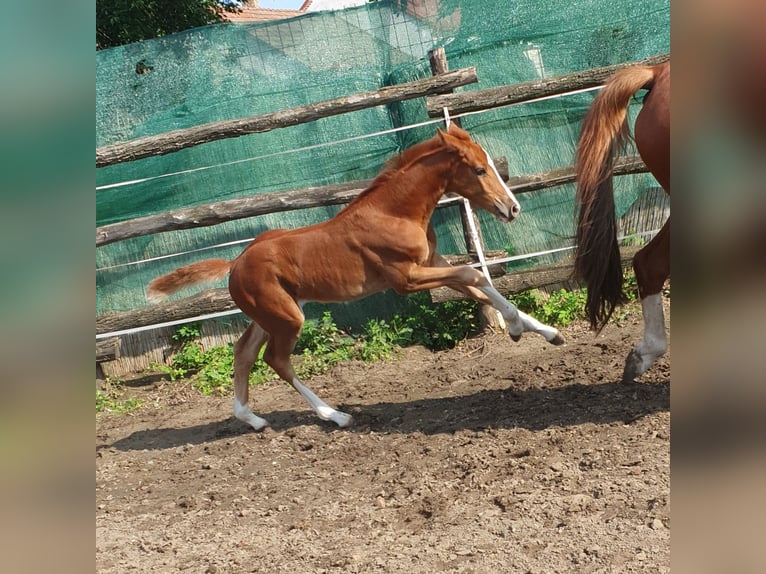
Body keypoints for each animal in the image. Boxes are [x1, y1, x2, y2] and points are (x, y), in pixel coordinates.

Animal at [148, 126, 564, 432]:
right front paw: (515, 328)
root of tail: (235, 263)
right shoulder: (407, 279)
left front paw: (546, 332)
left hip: (271, 315)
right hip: (287, 318)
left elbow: (482, 284)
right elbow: (472, 274)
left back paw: (252, 419)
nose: (513, 208)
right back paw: (335, 415)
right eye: (478, 170)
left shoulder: (432, 262)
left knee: (243, 353)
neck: (394, 212)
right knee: (276, 360)